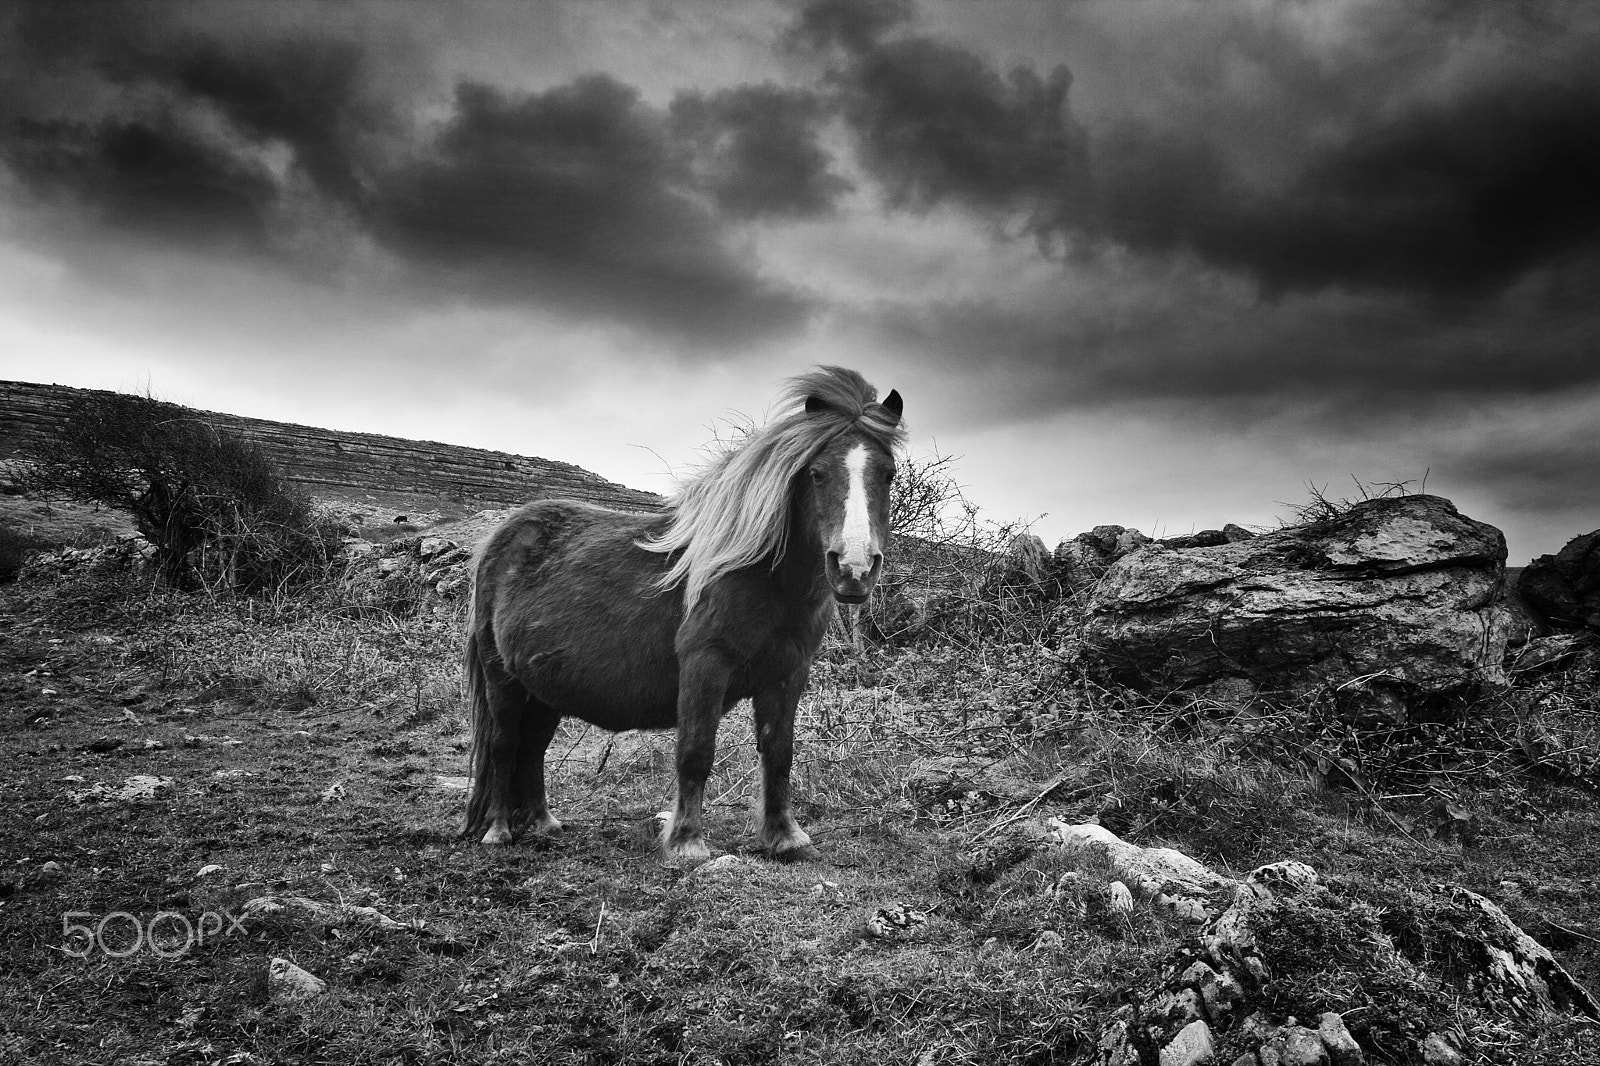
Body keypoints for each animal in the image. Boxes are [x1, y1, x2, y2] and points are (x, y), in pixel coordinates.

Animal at [461, 366, 904, 861]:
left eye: (887, 474)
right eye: (817, 473)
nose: (854, 568)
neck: (760, 576)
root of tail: (501, 538)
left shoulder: (787, 674)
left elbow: (778, 753)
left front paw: (784, 837)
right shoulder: (704, 666)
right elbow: (696, 752)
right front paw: (687, 842)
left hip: (544, 688)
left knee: (533, 747)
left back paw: (541, 823)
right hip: (503, 678)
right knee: (503, 744)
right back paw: (499, 829)